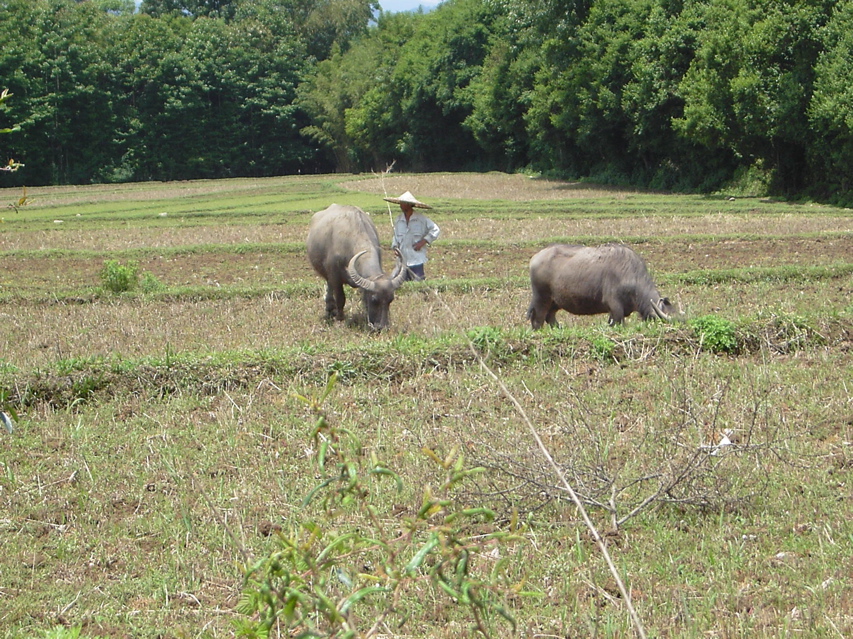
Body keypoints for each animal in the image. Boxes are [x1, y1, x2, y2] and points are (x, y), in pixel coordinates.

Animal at [527, 243, 678, 328]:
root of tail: (535, 257)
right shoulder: (615, 307)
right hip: (541, 298)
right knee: (538, 320)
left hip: (555, 302)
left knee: (550, 318)